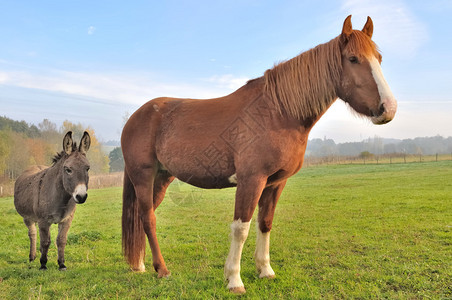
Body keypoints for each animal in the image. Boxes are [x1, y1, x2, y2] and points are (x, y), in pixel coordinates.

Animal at [14, 131, 90, 270]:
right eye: (68, 169)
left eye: (87, 168)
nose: (81, 196)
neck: (61, 199)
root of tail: (35, 166)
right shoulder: (43, 221)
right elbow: (45, 241)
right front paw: (43, 264)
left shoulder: (66, 220)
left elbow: (61, 240)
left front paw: (62, 264)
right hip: (27, 218)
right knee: (32, 233)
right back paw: (32, 257)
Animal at [122, 15, 398, 292]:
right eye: (353, 59)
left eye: (379, 58)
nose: (389, 108)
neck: (278, 112)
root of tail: (136, 116)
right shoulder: (251, 180)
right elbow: (241, 228)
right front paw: (234, 279)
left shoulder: (275, 182)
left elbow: (265, 224)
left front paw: (265, 270)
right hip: (143, 177)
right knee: (148, 218)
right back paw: (162, 270)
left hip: (162, 178)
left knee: (145, 217)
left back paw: (141, 265)